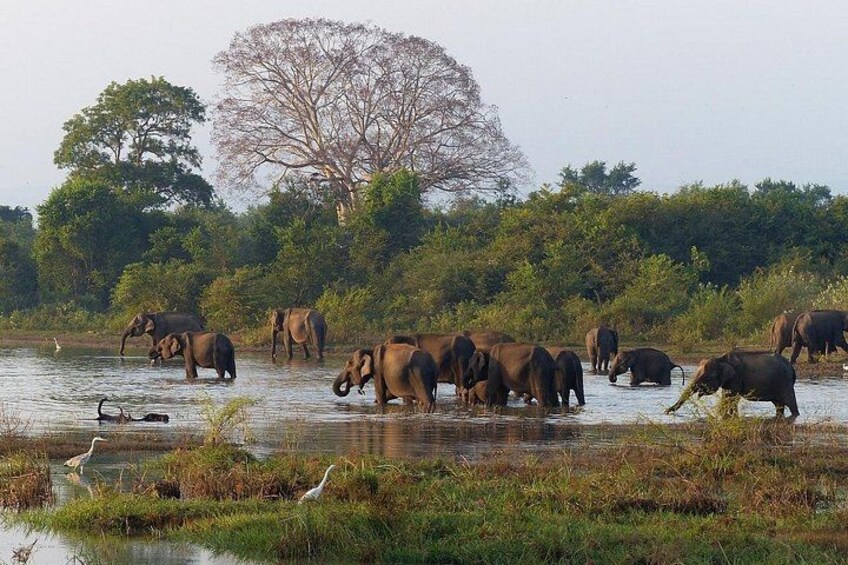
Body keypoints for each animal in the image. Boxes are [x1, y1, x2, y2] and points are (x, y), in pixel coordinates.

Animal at [665, 351, 799, 420]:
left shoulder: (736, 377)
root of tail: (792, 368)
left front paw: (725, 416)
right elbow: (727, 396)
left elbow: (732, 397)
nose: (666, 411)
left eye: (706, 377)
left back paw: (795, 415)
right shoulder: (728, 380)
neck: (721, 359)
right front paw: (727, 417)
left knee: (790, 401)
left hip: (785, 382)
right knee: (778, 404)